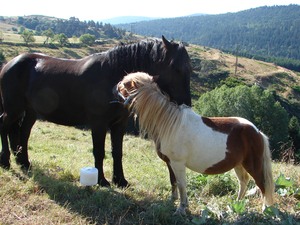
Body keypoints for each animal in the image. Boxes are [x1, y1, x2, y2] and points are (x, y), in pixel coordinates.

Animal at [0, 36, 191, 187]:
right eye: (175, 67)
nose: (186, 103)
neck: (113, 78)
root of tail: (9, 64)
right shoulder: (99, 124)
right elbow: (99, 151)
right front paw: (102, 181)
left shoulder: (119, 124)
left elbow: (117, 152)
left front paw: (120, 181)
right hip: (13, 109)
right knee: (5, 126)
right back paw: (6, 162)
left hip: (29, 112)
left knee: (23, 133)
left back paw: (24, 163)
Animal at [117, 71, 274, 214]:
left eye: (125, 84)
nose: (115, 87)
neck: (169, 123)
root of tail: (257, 131)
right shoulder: (170, 163)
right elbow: (173, 181)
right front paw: (173, 201)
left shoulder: (178, 163)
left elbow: (182, 184)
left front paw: (181, 208)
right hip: (238, 164)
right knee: (243, 181)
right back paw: (236, 204)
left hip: (252, 165)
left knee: (262, 185)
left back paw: (266, 210)